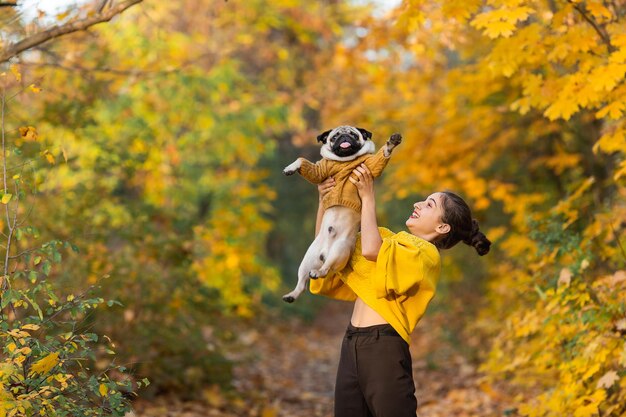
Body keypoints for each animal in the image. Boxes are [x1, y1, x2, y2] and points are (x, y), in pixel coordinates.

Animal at [282, 124, 400, 302]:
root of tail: (324, 253)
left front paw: (391, 142)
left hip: (339, 250)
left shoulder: (370, 165)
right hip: (307, 259)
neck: (345, 160)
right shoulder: (320, 170)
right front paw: (290, 168)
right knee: (302, 284)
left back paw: (318, 272)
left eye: (354, 135)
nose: (344, 137)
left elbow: (381, 157)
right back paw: (291, 295)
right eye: (335, 137)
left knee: (326, 269)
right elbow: (302, 161)